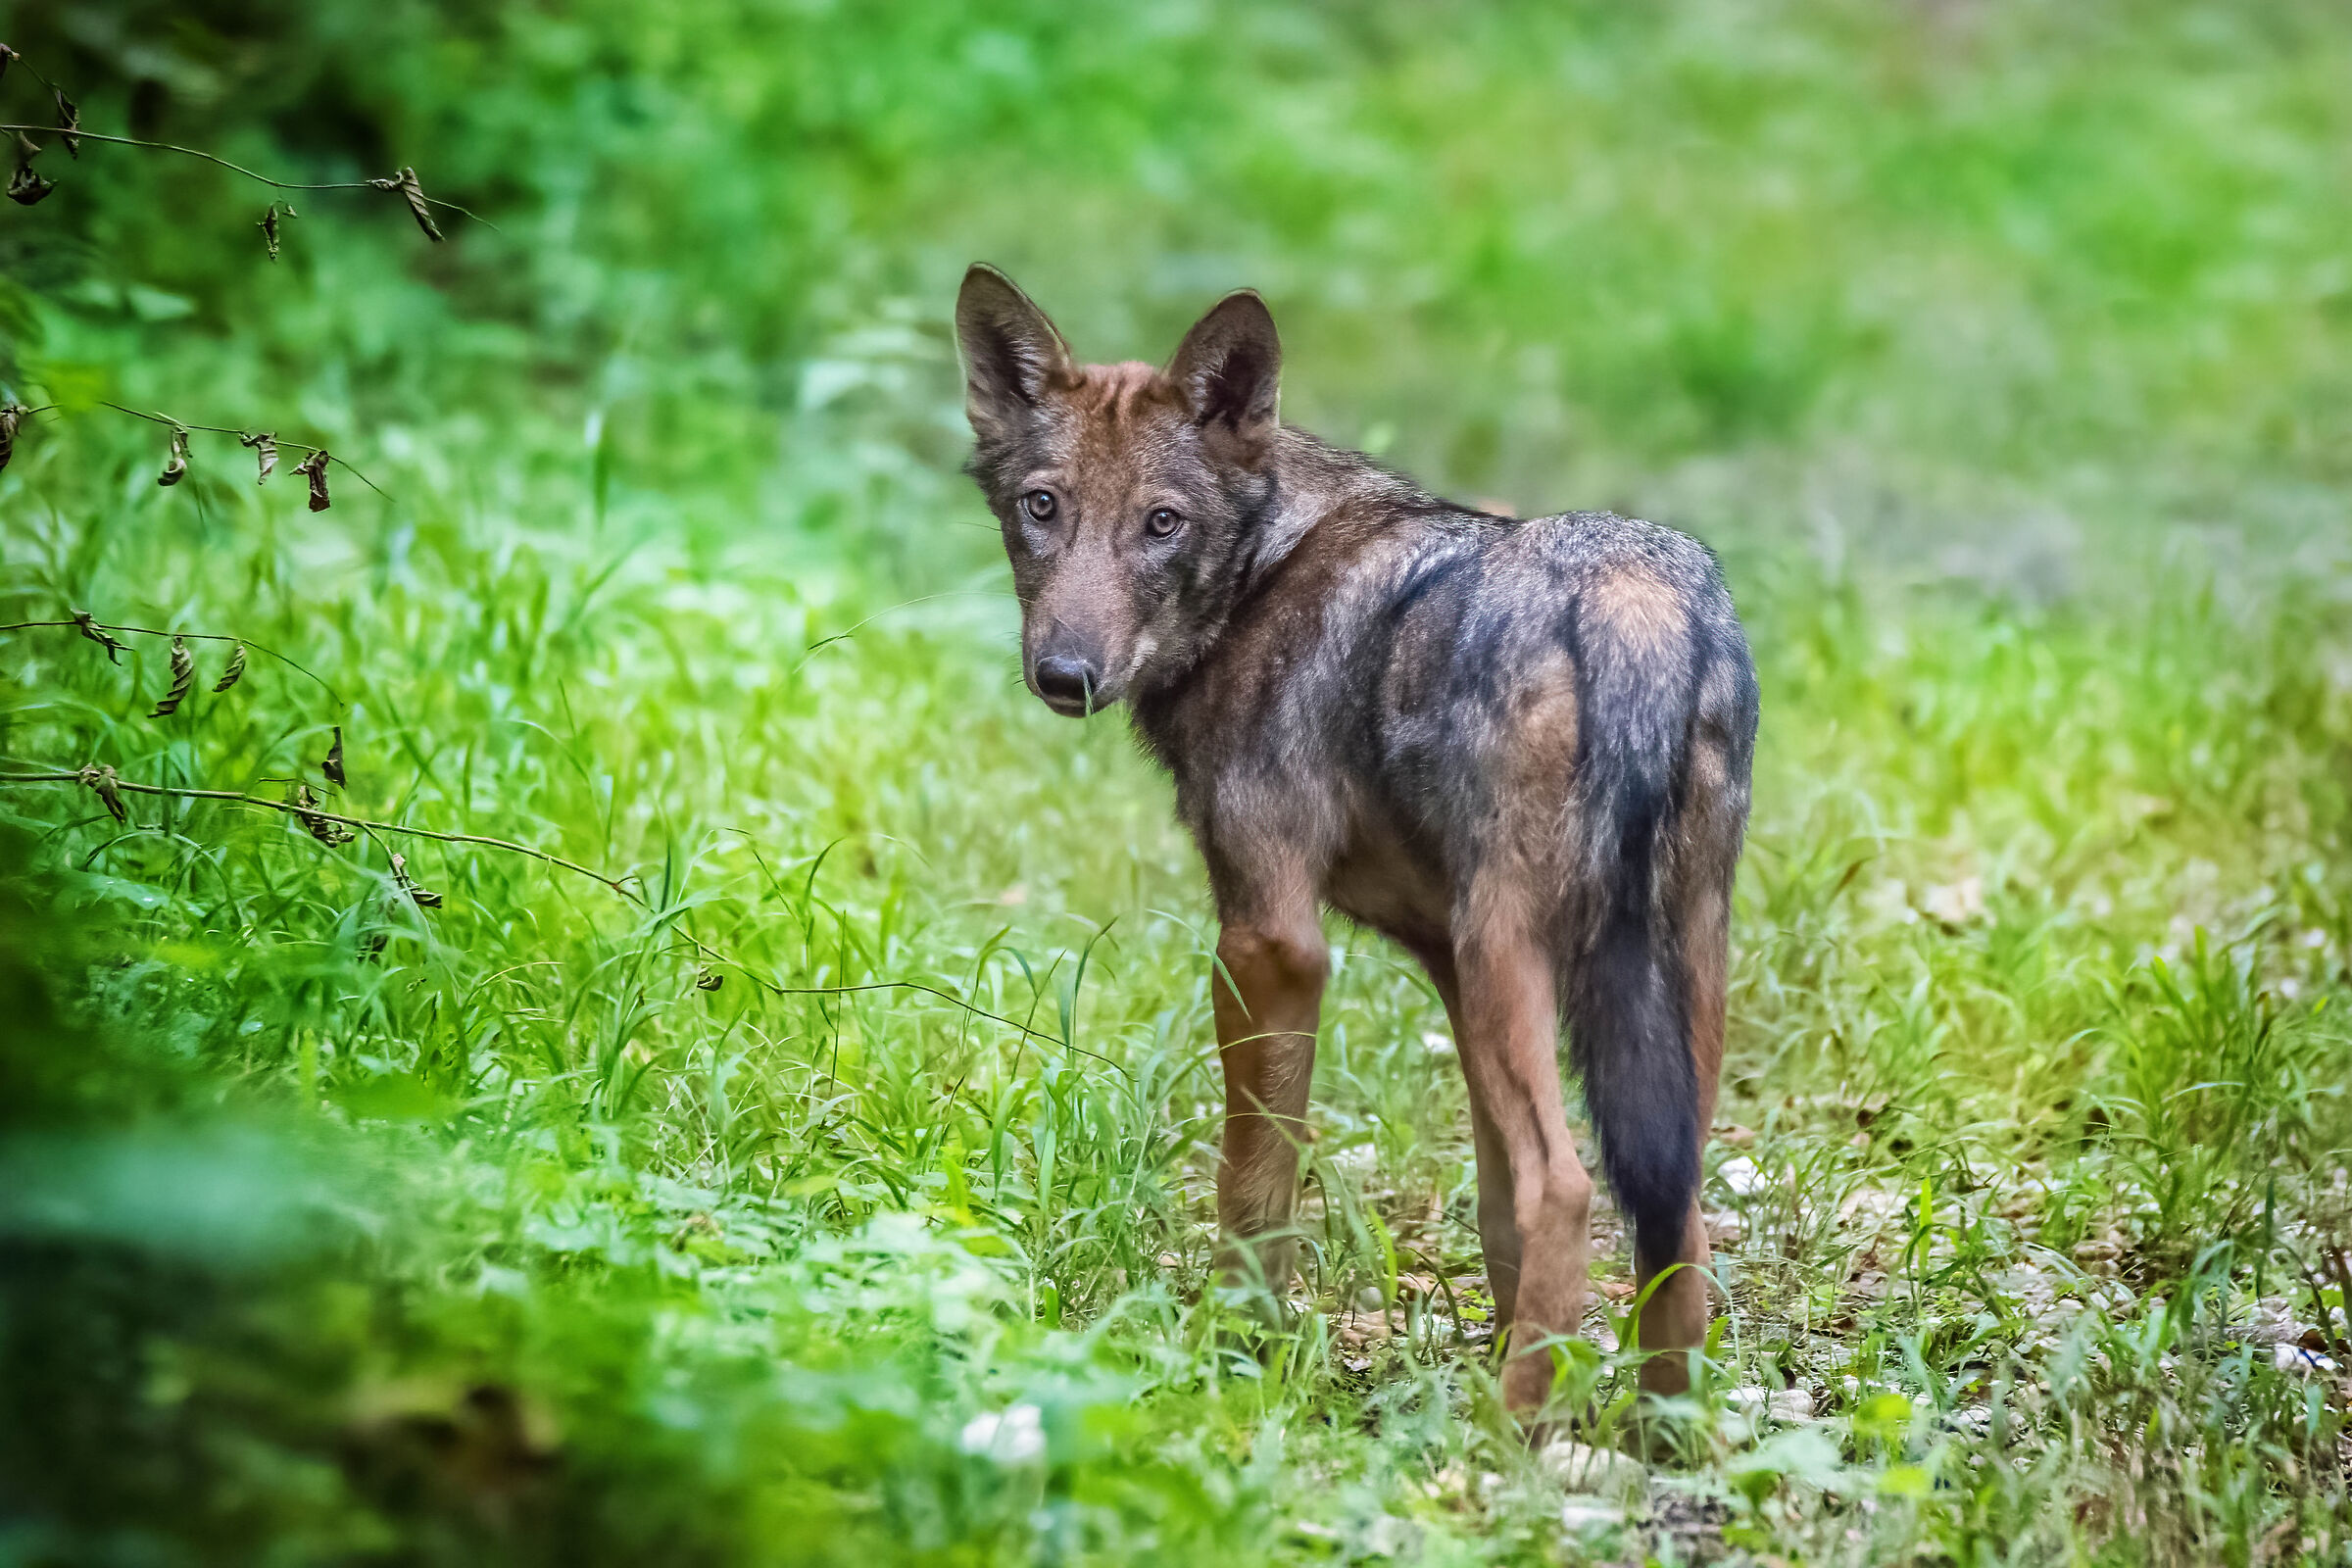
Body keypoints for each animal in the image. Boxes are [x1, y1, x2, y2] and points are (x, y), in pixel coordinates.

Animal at [954, 264, 1759, 1409]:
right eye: (1041, 506)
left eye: (1162, 523)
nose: (1066, 675)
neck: (1262, 574)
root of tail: (1633, 600)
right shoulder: (1444, 969)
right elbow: (1493, 1212)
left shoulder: (1272, 942)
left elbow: (1255, 1186)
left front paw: (1228, 1352)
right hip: (1669, 971)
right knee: (1671, 1214)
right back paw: (1657, 1436)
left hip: (1517, 957)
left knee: (1566, 1187)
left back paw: (1509, 1440)